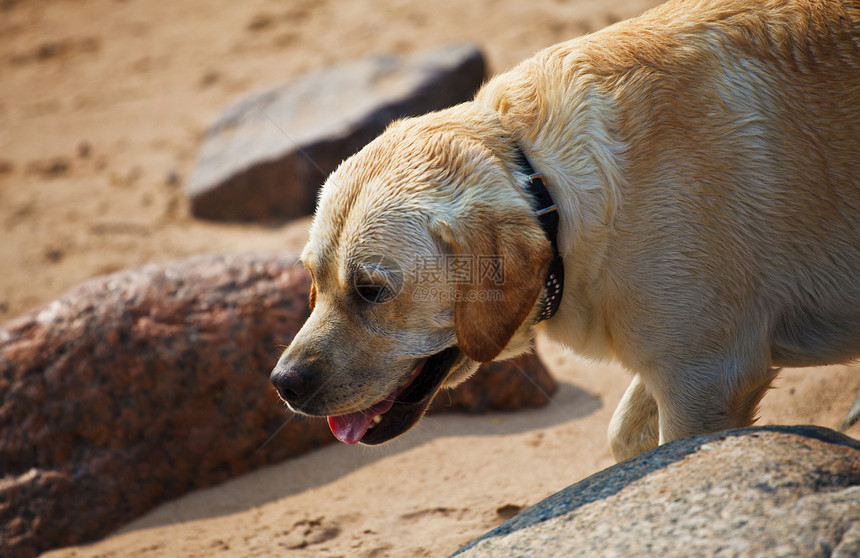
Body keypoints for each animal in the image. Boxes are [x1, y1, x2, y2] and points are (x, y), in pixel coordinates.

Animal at [274, 0, 860, 462]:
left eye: (372, 290)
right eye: (312, 280)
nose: (283, 384)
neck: (543, 182)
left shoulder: (709, 375)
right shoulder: (683, 366)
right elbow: (625, 436)